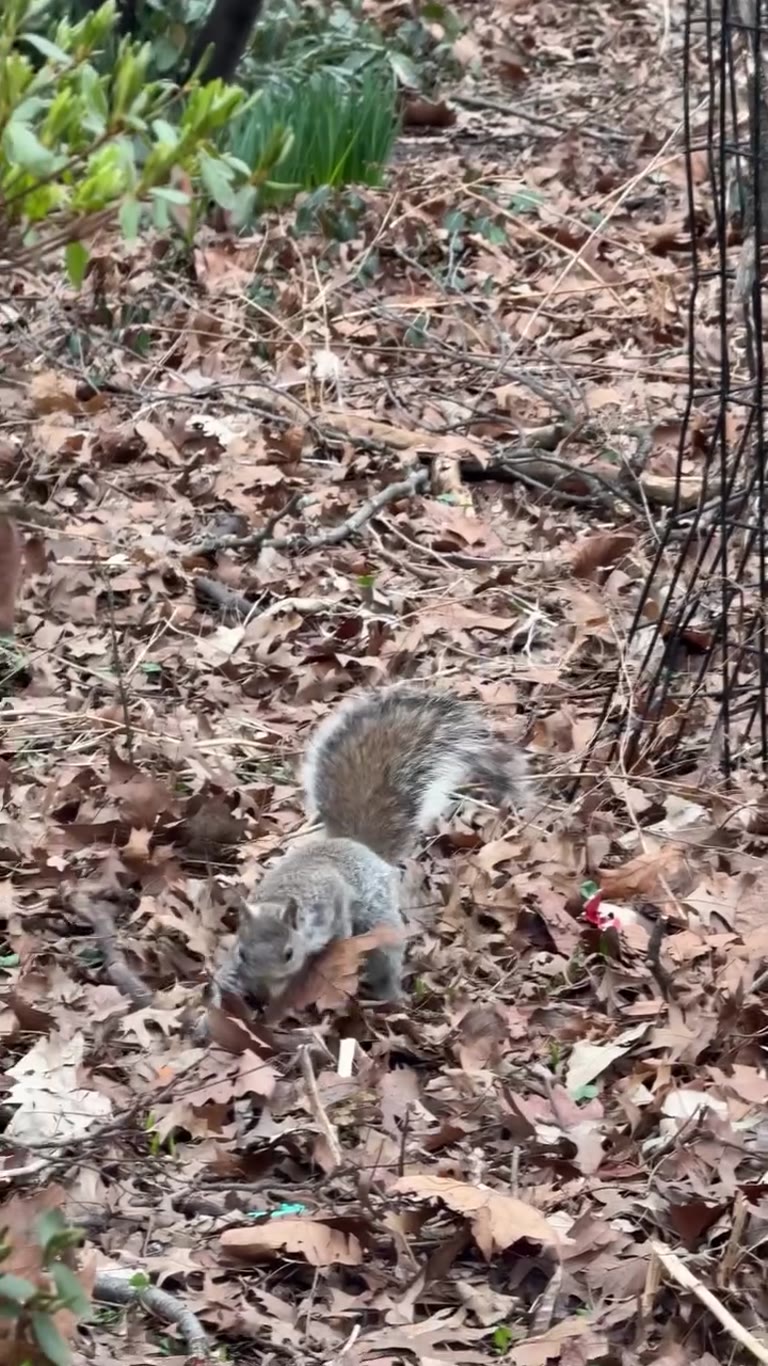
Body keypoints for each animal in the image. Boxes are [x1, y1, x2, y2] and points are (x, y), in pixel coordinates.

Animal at [211, 685, 530, 1009]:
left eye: (288, 953)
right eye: (242, 953)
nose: (260, 995)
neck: (282, 899)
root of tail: (356, 845)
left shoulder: (333, 904)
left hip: (379, 915)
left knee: (385, 955)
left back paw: (389, 993)